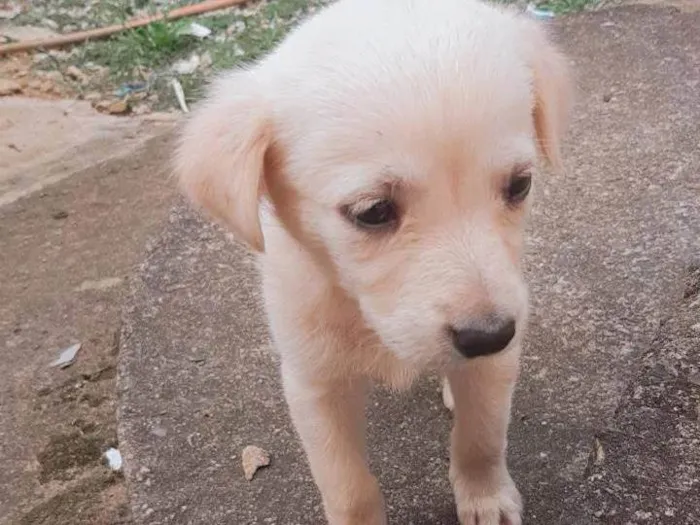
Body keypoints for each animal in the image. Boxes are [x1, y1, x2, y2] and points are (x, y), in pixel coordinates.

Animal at [175, 1, 568, 524]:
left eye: (519, 185)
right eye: (374, 211)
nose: (489, 336)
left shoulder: (498, 359)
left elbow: (481, 436)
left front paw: (485, 497)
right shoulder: (314, 382)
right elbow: (348, 485)